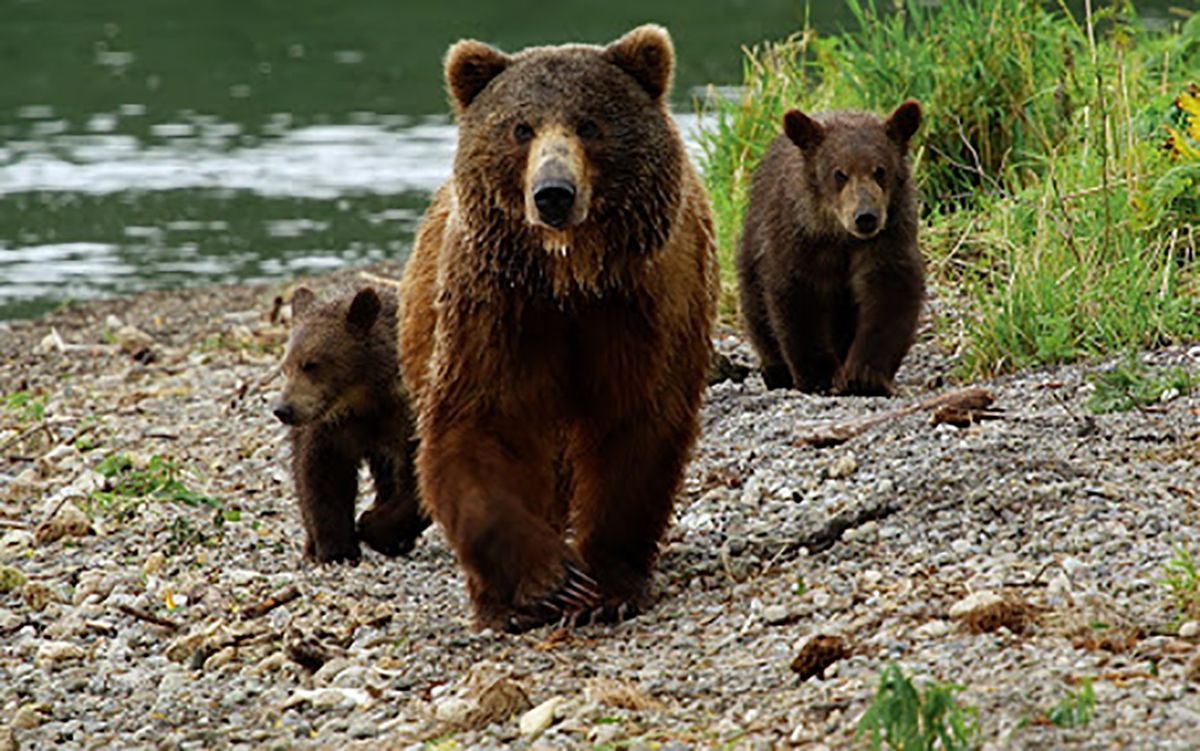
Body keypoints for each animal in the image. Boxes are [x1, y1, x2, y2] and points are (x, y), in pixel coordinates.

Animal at [276, 285, 432, 561]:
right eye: (286, 366)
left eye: (311, 364)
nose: (283, 410)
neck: (365, 396)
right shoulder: (331, 427)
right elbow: (323, 476)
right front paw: (337, 549)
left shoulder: (405, 417)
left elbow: (416, 478)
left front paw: (374, 526)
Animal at [396, 26, 710, 628]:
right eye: (521, 127)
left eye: (589, 123)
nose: (554, 193)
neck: (570, 278)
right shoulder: (500, 308)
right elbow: (482, 426)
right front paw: (550, 580)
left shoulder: (642, 307)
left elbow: (635, 428)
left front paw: (606, 585)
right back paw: (496, 604)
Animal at [734, 101, 921, 395]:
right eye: (839, 173)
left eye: (880, 170)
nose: (865, 217)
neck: (840, 235)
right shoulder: (801, 241)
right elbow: (798, 299)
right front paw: (819, 375)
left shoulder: (886, 240)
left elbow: (889, 295)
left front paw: (863, 377)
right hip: (752, 243)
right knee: (755, 306)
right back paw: (775, 370)